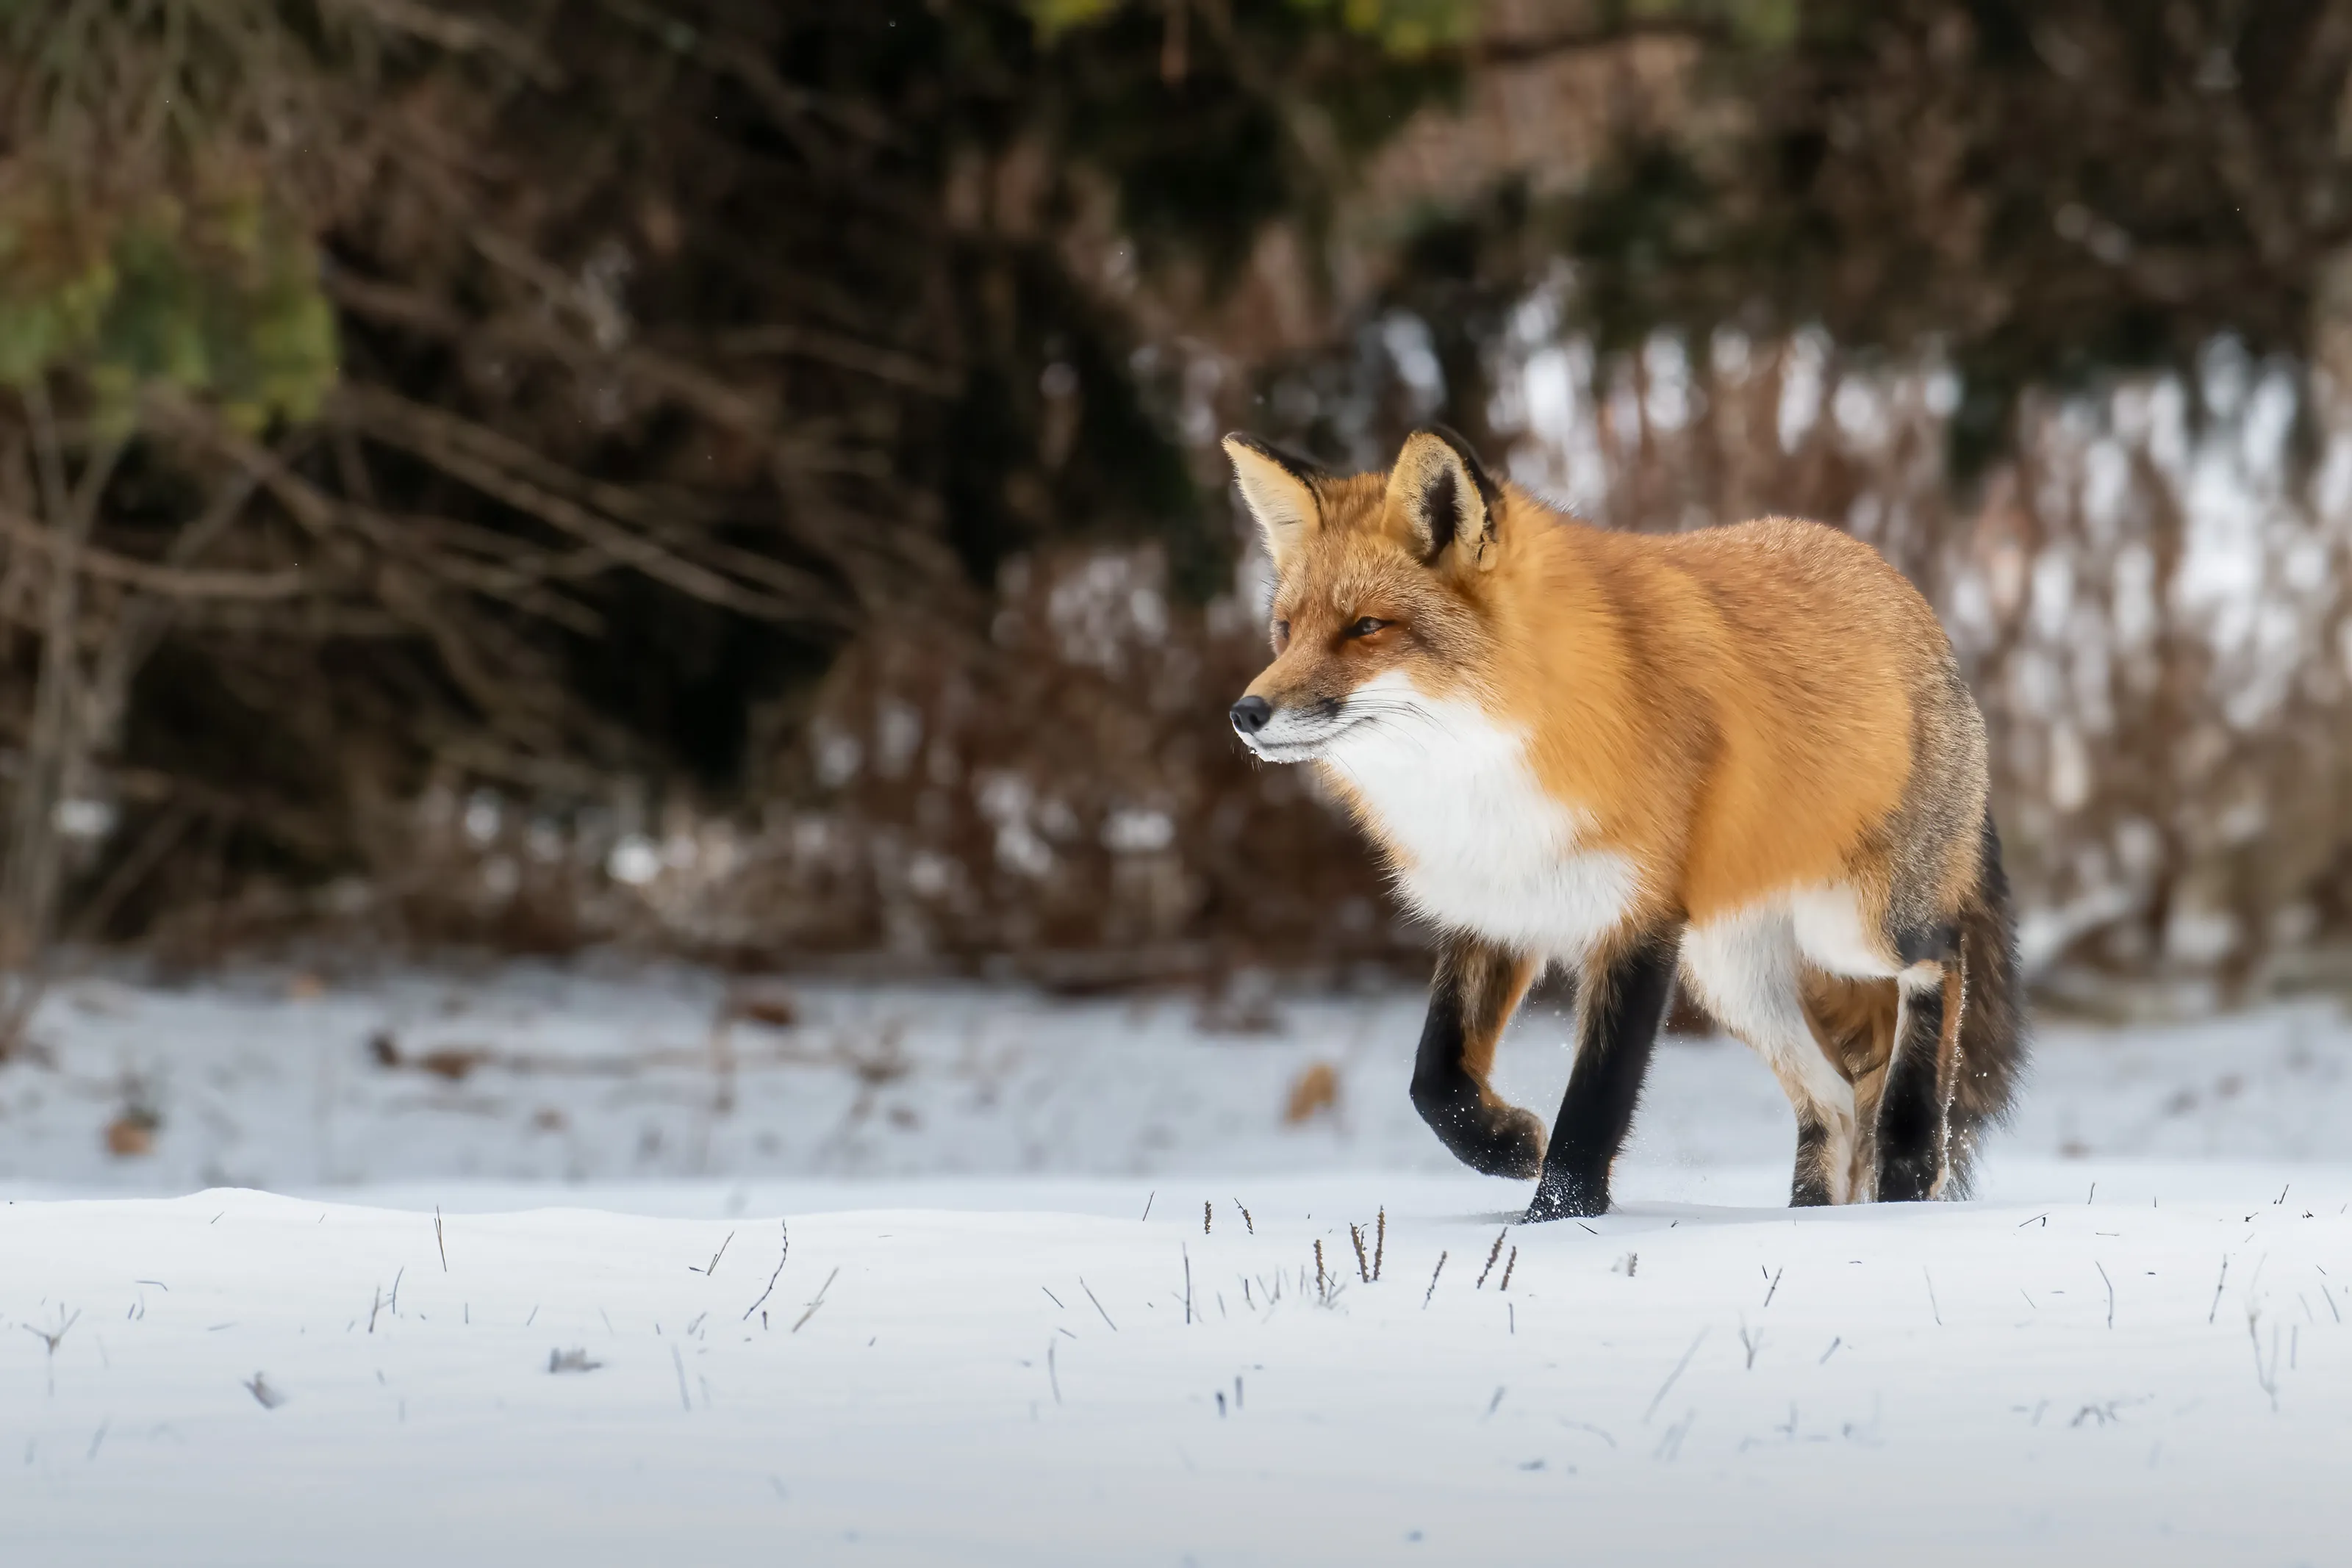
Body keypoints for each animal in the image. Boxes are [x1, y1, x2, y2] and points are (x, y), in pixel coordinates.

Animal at [1224, 425, 2023, 1220]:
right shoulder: (1495, 906)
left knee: (1938, 961)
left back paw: (1909, 1159)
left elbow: (1594, 1104)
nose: (1245, 712)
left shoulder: (1638, 921)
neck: (1493, 765)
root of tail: (1903, 590)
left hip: (1850, 927)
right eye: (1286, 631)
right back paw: (1811, 1216)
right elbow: (1434, 1079)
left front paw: (1558, 1220)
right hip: (1733, 975)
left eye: (1366, 627)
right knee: (1831, 1098)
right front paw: (1505, 1145)